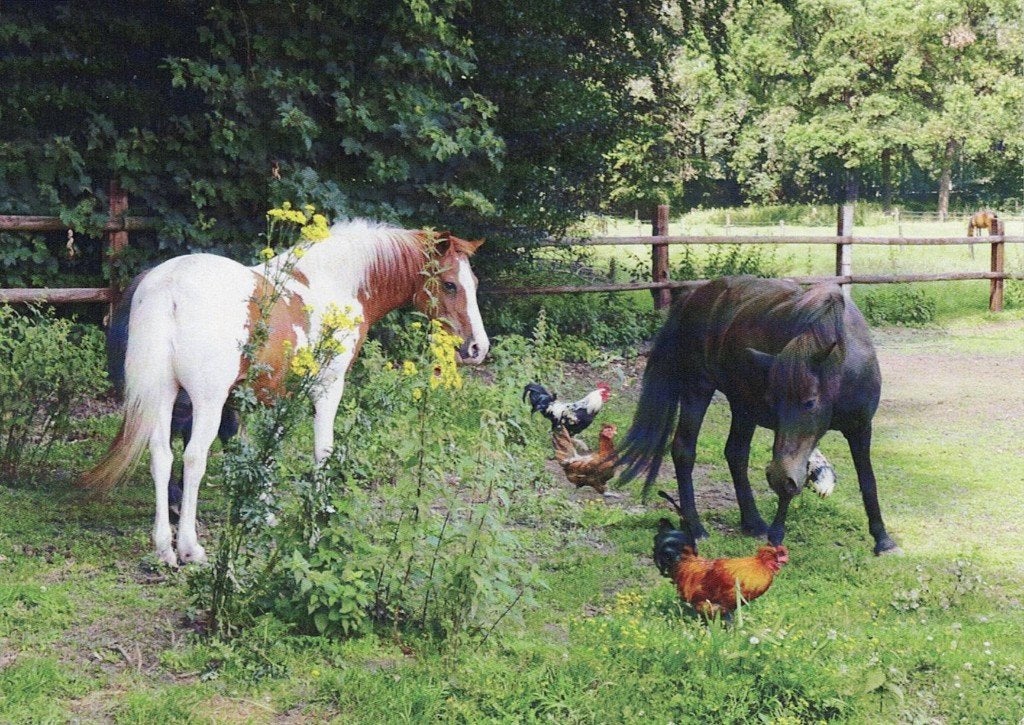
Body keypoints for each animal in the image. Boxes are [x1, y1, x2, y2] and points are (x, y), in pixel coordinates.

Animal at [80, 219, 489, 566]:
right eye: (450, 284)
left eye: (473, 283)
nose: (477, 348)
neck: (334, 284)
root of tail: (170, 287)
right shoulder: (327, 388)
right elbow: (322, 451)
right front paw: (320, 514)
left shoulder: (281, 395)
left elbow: (266, 450)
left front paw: (264, 509)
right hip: (207, 401)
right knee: (194, 459)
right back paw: (189, 547)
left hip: (164, 397)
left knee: (162, 457)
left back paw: (165, 547)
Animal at [617, 276, 898, 555]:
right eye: (773, 401)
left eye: (809, 402)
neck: (844, 369)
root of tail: (694, 295)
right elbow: (788, 482)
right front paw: (776, 537)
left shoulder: (860, 427)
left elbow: (867, 480)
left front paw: (883, 539)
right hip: (698, 389)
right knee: (684, 450)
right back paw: (697, 528)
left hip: (743, 406)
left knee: (736, 453)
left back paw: (752, 522)